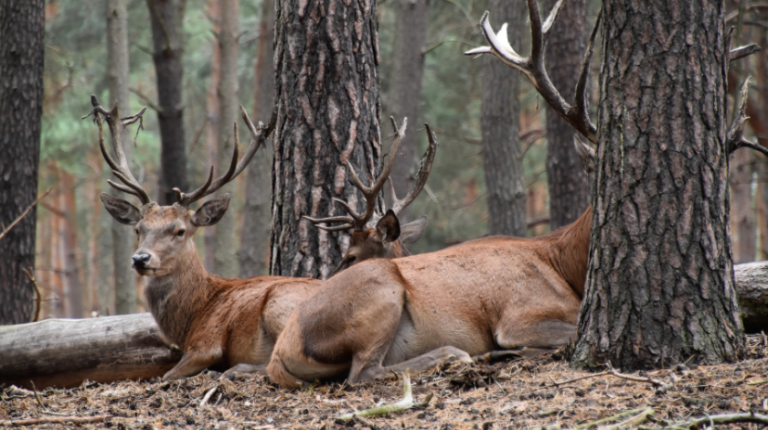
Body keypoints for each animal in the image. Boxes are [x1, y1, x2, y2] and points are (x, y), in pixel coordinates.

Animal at [86, 94, 436, 380]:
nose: (140, 258)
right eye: (138, 229)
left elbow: (166, 376)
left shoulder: (206, 342)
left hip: (282, 306)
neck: (193, 314)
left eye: (179, 230)